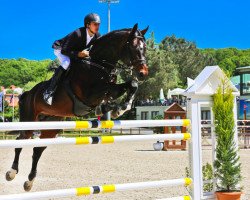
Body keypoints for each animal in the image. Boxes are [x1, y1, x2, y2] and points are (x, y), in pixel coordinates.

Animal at [5, 23, 148, 191]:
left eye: (145, 48)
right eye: (133, 47)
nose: (143, 73)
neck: (100, 64)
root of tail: (27, 93)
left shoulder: (107, 89)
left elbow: (131, 85)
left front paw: (120, 108)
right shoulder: (90, 94)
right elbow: (111, 90)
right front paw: (114, 109)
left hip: (51, 125)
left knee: (37, 149)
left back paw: (30, 181)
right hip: (29, 120)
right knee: (20, 141)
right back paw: (11, 172)